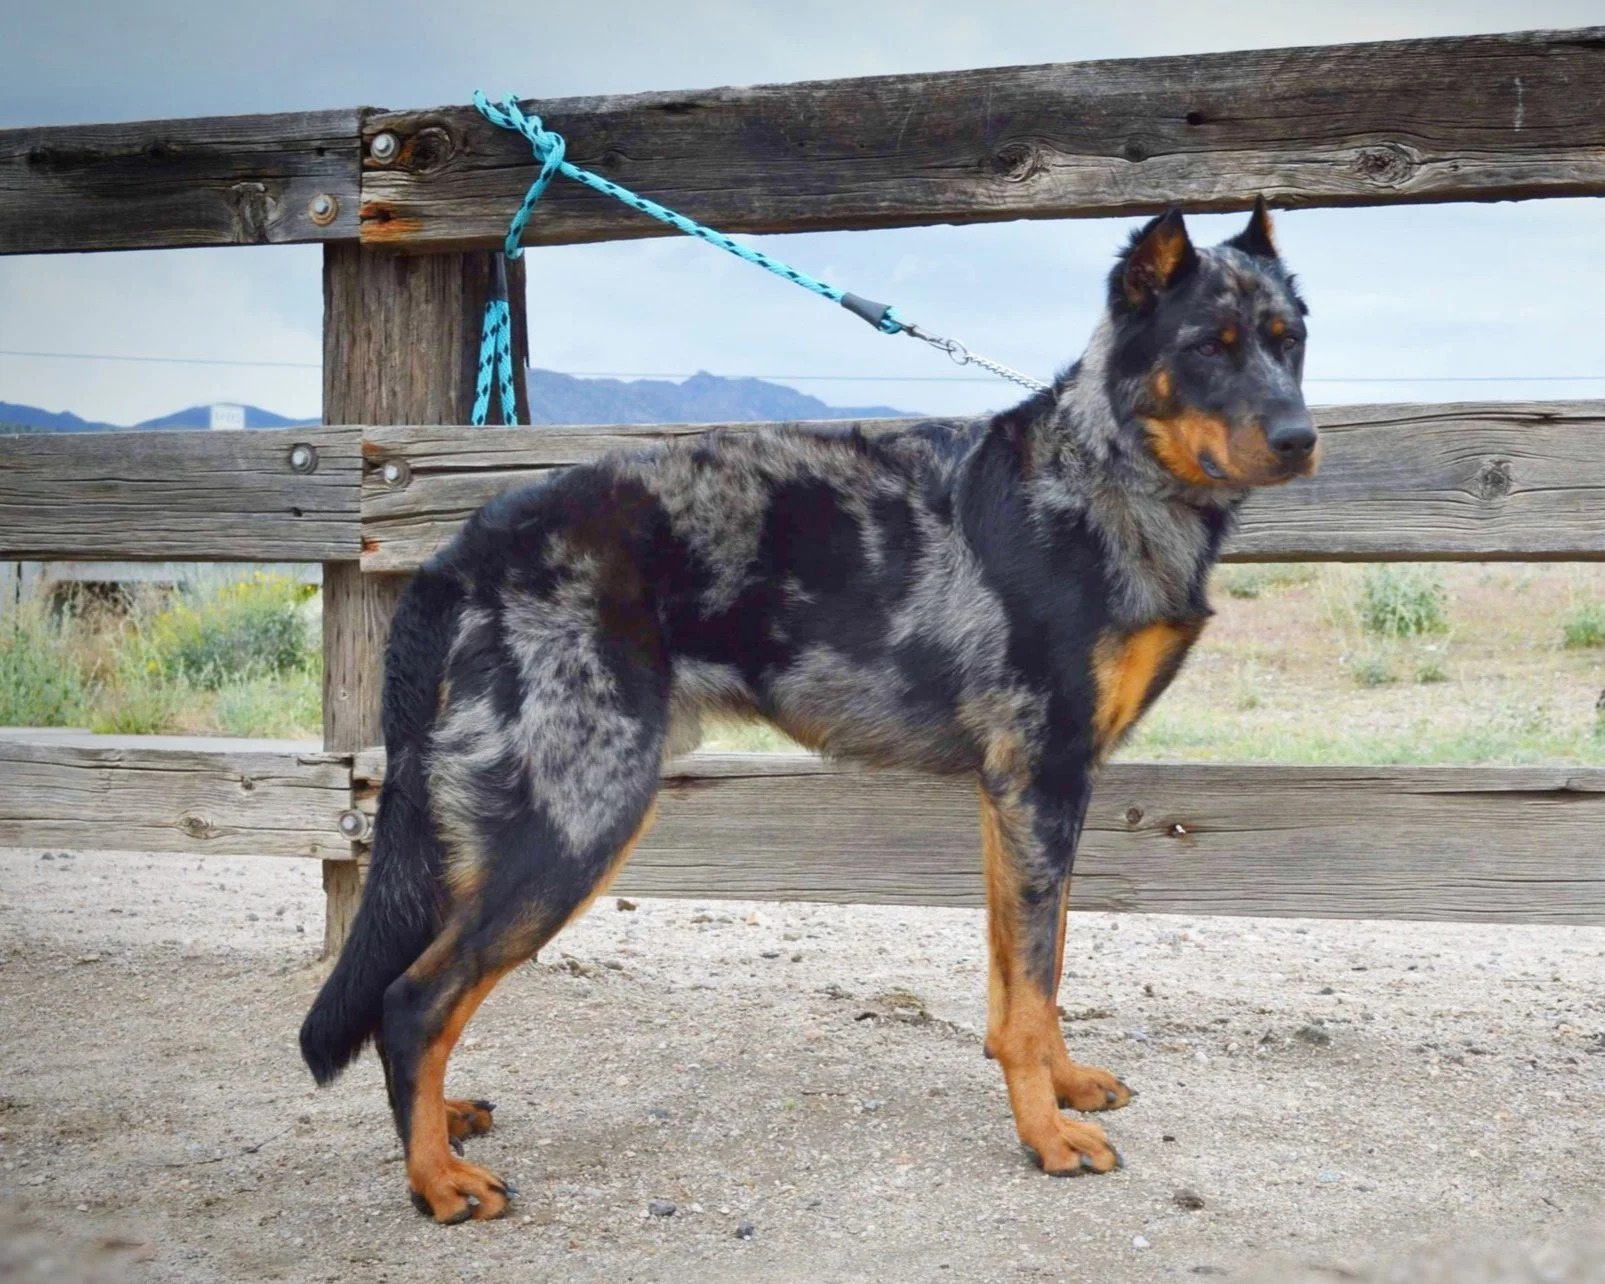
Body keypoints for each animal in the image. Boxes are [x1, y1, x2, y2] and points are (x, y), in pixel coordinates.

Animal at [301, 200, 1317, 1223]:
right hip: (576, 823)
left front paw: (1060, 1090)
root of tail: (462, 552)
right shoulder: (1040, 784)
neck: (1105, 471)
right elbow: (1031, 990)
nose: (1301, 438)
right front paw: (1045, 1134)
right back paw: (436, 1181)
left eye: (1288, 341)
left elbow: (1032, 977)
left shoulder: (1021, 803)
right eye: (1209, 346)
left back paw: (441, 1125)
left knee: (416, 995)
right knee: (413, 1001)